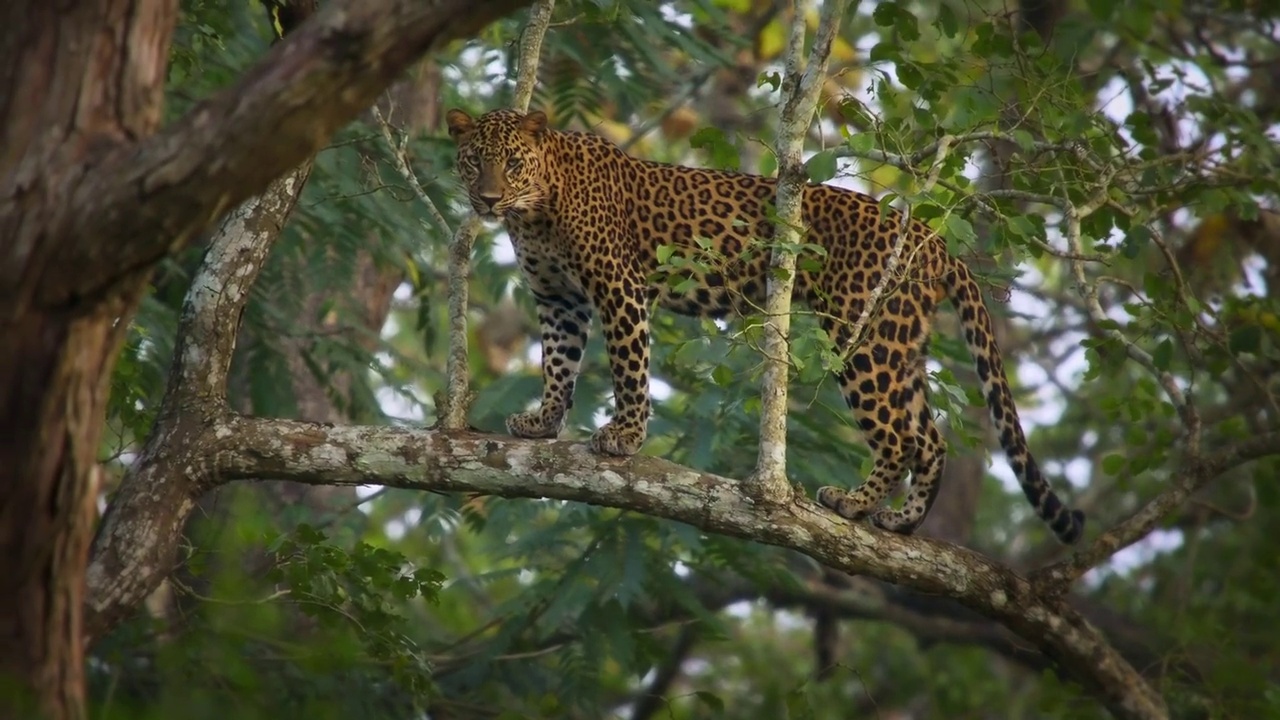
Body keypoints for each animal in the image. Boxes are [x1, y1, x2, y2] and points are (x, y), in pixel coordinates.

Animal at [445, 107, 1085, 543]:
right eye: (475, 161)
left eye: (513, 163)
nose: (488, 198)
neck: (535, 212)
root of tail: (930, 237)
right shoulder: (558, 300)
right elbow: (558, 363)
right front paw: (543, 422)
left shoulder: (617, 284)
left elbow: (629, 366)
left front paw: (624, 436)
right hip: (897, 341)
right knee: (929, 437)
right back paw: (900, 519)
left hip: (860, 334)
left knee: (902, 436)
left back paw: (854, 501)